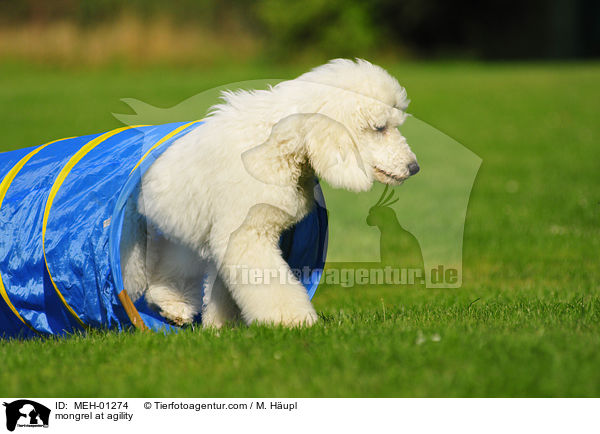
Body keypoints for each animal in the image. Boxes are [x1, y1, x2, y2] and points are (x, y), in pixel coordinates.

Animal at [119, 59, 420, 328]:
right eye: (379, 127)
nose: (413, 167)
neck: (280, 146)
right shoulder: (245, 234)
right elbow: (269, 283)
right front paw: (293, 320)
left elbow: (226, 290)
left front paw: (221, 327)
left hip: (178, 230)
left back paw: (175, 308)